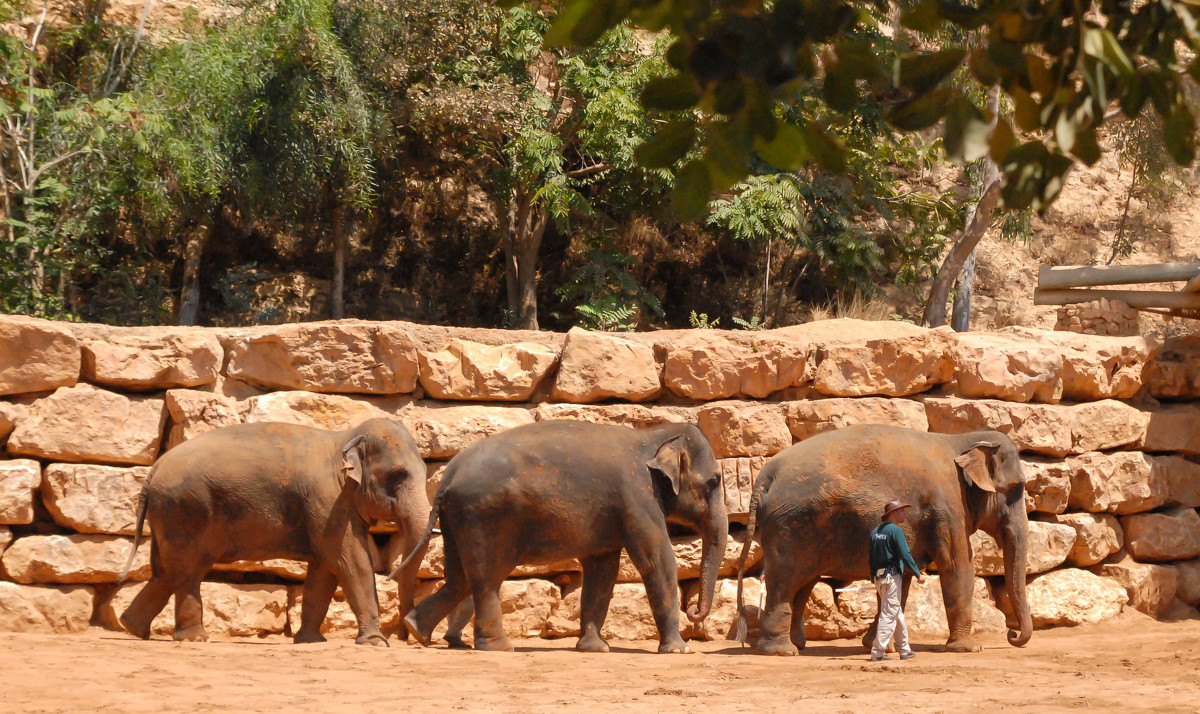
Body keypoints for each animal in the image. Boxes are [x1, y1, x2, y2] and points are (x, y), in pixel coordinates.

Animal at [115, 420, 432, 648]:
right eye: (397, 475)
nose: (414, 638)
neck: (345, 438)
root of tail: (153, 471)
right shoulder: (329, 500)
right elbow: (349, 563)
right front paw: (376, 643)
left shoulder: (329, 509)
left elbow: (324, 571)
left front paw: (310, 641)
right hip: (184, 510)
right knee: (187, 571)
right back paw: (194, 639)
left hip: (168, 514)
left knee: (165, 572)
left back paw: (132, 628)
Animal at [398, 422, 724, 657]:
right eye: (714, 482)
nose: (694, 612)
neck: (654, 435)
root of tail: (447, 475)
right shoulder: (638, 497)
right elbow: (656, 560)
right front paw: (679, 651)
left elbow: (602, 570)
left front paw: (594, 649)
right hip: (484, 516)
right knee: (486, 577)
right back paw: (499, 647)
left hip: (457, 519)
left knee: (459, 578)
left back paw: (416, 630)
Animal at [729, 424, 1032, 657]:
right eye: (1017, 488)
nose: (1012, 633)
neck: (961, 439)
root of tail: (765, 476)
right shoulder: (947, 503)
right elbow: (958, 566)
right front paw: (969, 648)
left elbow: (905, 575)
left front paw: (878, 645)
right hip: (789, 527)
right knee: (785, 580)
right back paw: (782, 651)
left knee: (803, 583)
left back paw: (797, 644)